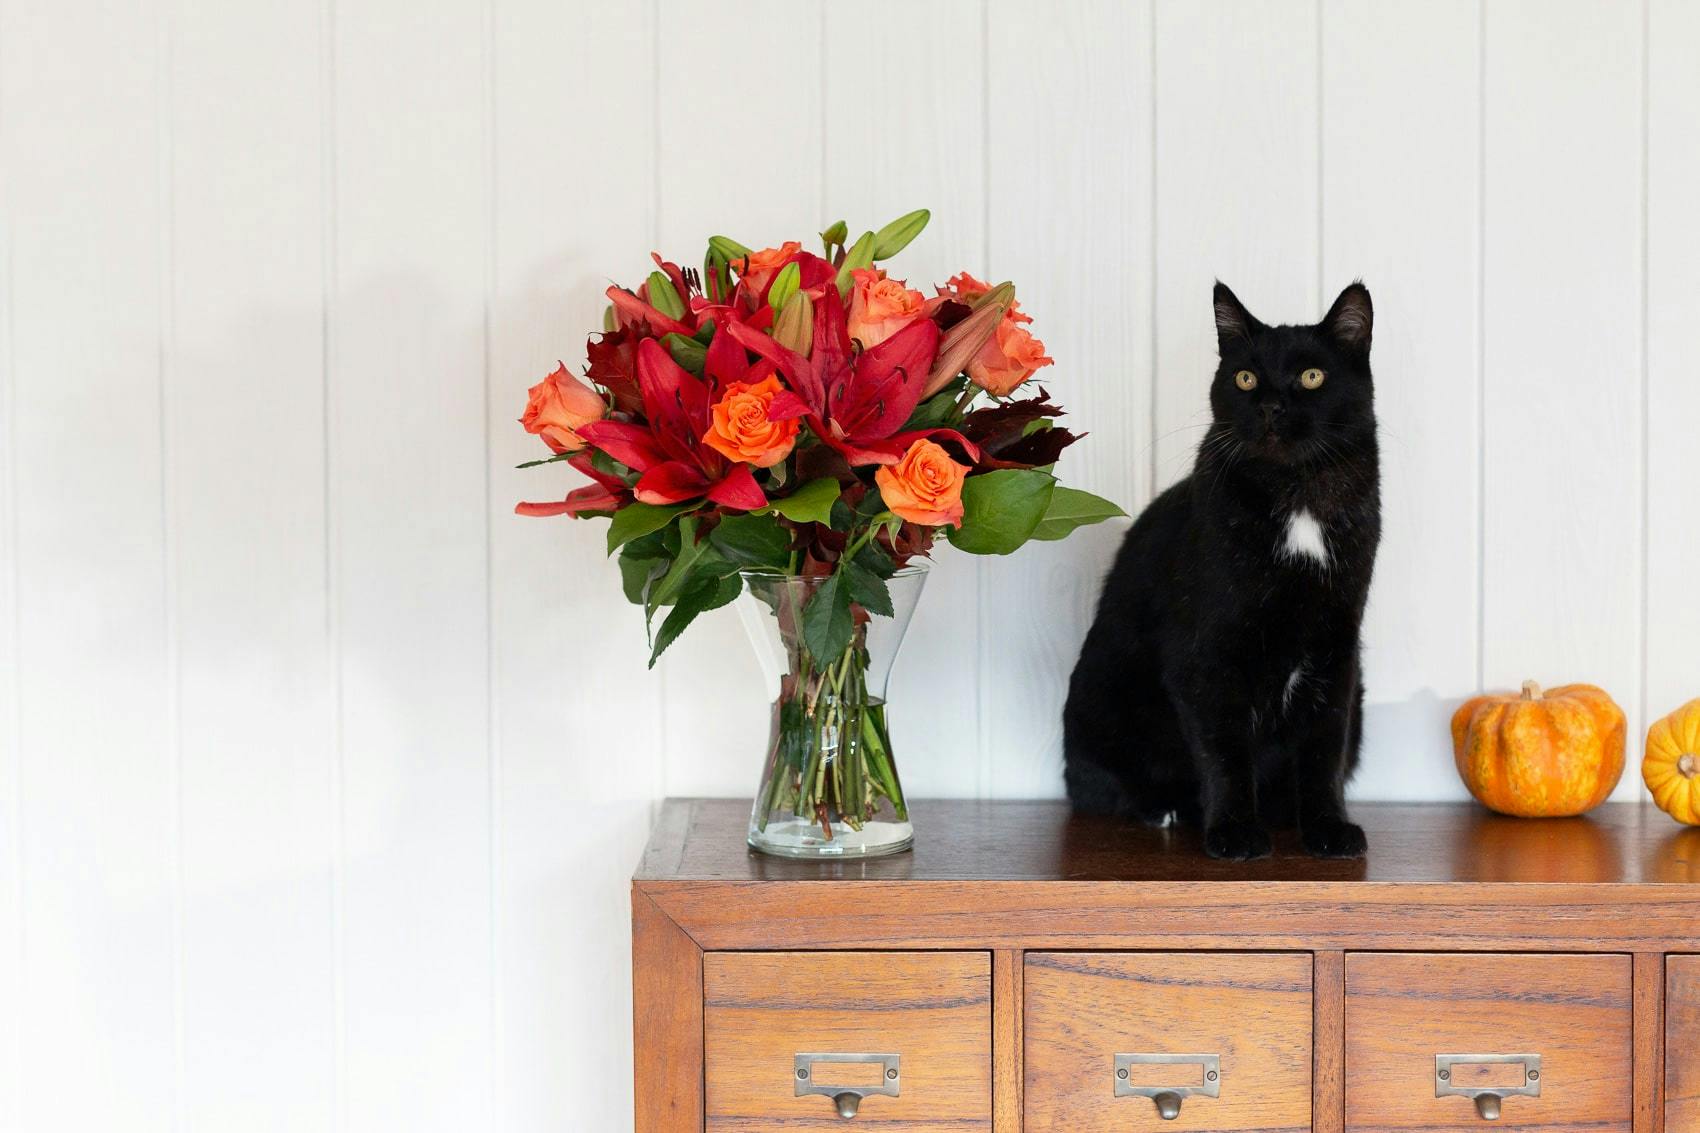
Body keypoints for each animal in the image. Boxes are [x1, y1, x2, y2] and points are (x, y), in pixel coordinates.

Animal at [1067, 282, 1373, 857]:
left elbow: (1324, 746)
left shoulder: (1336, 648)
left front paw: (1328, 828)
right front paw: (1233, 832)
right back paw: (1165, 810)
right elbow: (1224, 749)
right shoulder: (1206, 654)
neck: (1296, 497)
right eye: (1245, 378)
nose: (1272, 406)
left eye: (1312, 376)